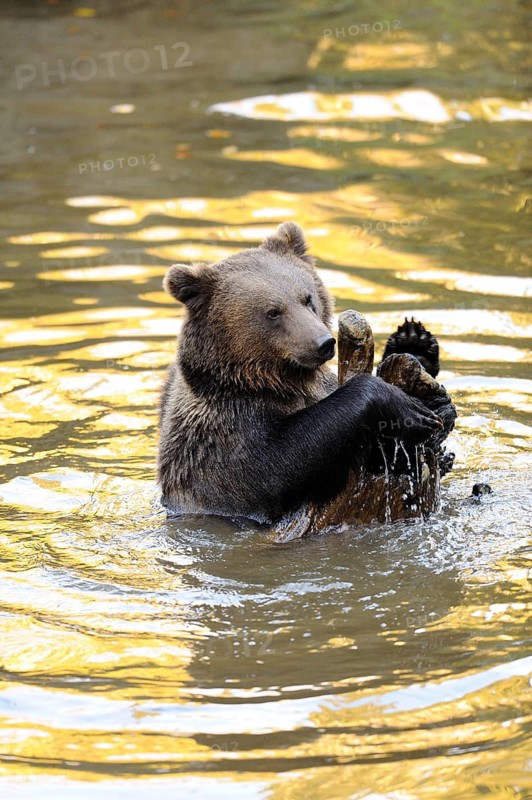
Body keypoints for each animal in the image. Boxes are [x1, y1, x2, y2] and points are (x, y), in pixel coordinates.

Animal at [158, 222, 443, 525]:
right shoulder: (227, 432)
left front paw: (416, 348)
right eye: (273, 311)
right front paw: (408, 410)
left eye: (307, 298)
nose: (324, 342)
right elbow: (276, 463)